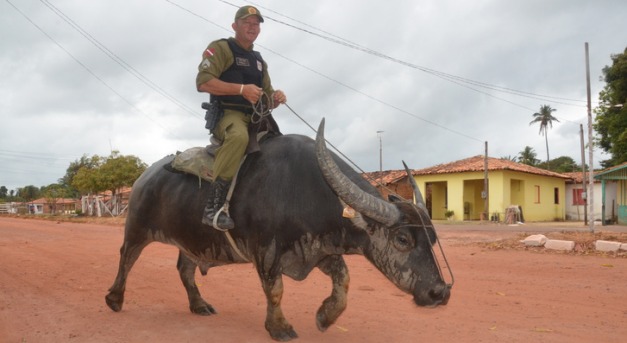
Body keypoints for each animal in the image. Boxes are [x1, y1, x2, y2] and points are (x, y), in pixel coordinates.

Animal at [106, 119, 452, 342]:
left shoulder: (319, 249)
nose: (440, 292)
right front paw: (280, 327)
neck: (306, 190)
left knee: (185, 268)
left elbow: (344, 282)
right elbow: (275, 290)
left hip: (192, 241)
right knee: (126, 257)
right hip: (137, 227)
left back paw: (199, 305)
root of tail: (144, 176)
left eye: (433, 238)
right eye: (402, 239)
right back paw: (114, 299)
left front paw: (325, 318)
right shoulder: (266, 253)